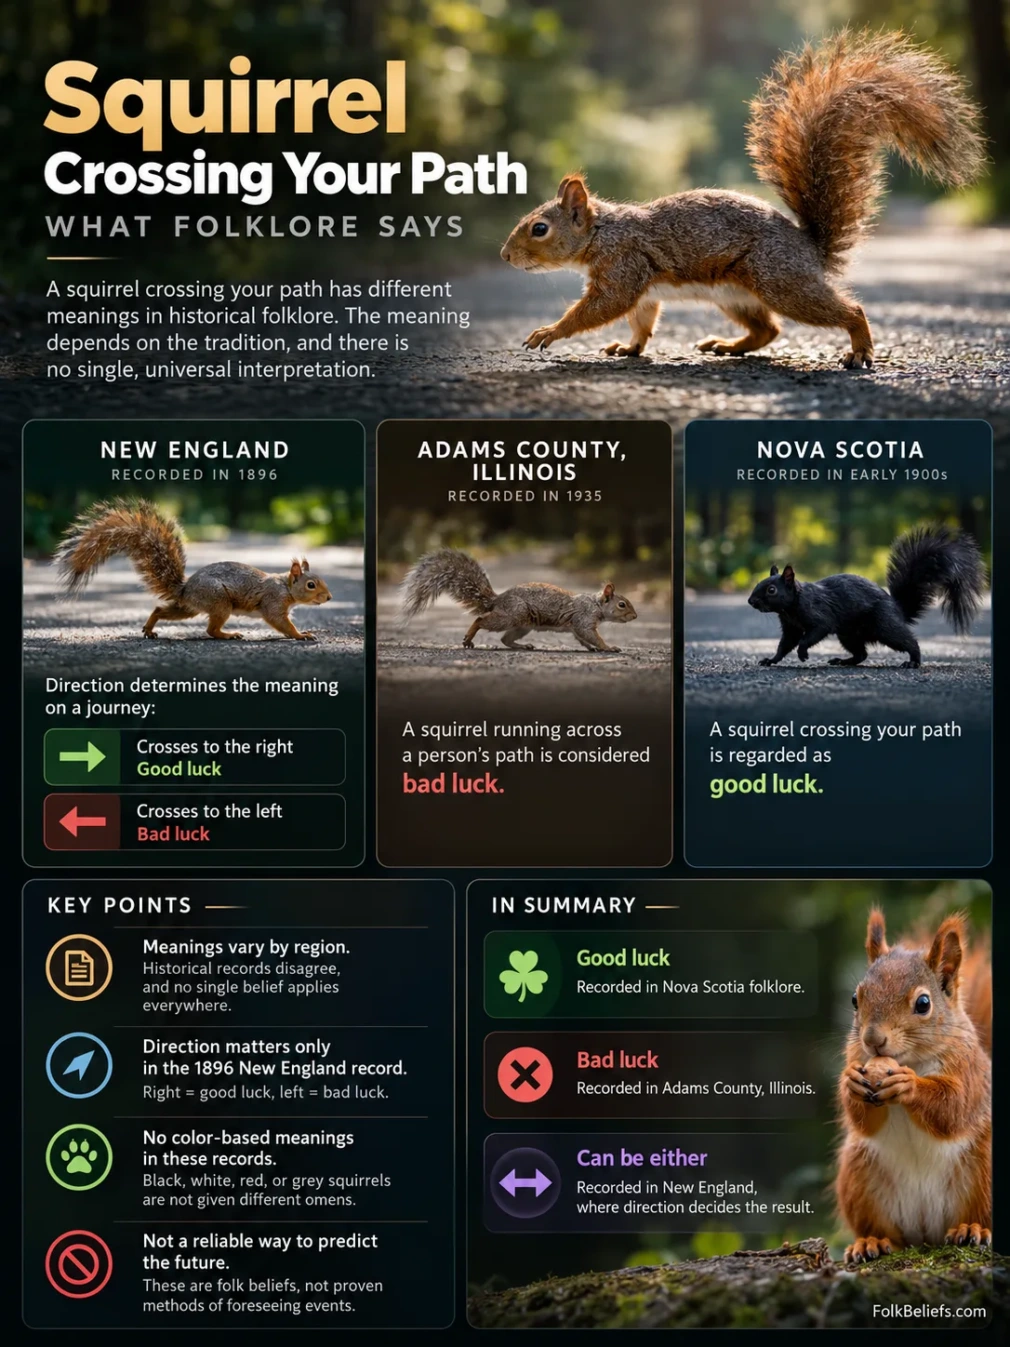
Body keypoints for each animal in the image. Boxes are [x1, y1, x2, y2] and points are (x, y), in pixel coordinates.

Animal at [56, 498, 332, 640]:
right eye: (311, 584)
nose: (329, 597)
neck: (285, 586)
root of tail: (185, 588)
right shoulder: (273, 602)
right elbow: (280, 622)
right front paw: (301, 635)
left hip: (190, 607)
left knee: (162, 609)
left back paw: (149, 628)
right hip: (219, 602)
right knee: (210, 630)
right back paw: (228, 635)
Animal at [400, 548, 636, 651]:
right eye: (622, 604)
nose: (635, 616)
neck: (596, 604)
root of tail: (497, 600)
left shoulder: (576, 626)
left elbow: (583, 639)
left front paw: (593, 649)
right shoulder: (583, 618)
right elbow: (590, 635)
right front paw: (608, 648)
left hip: (523, 625)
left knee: (506, 639)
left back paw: (523, 646)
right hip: (513, 615)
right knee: (481, 620)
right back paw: (469, 639)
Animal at [500, 30, 984, 369]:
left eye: (539, 228)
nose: (504, 256)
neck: (604, 231)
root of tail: (810, 248)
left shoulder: (624, 265)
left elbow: (602, 308)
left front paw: (549, 331)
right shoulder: (641, 285)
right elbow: (642, 318)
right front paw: (628, 347)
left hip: (780, 281)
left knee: (847, 310)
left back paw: (860, 349)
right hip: (736, 295)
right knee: (768, 330)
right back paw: (728, 346)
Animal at [746, 525, 985, 669]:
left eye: (771, 590)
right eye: (758, 583)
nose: (750, 601)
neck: (790, 608)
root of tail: (896, 607)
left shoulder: (819, 614)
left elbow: (813, 633)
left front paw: (803, 653)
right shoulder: (791, 627)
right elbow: (785, 645)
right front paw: (770, 660)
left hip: (883, 625)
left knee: (907, 640)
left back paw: (913, 661)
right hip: (849, 634)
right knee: (861, 654)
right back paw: (843, 661)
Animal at [836, 908, 991, 1263]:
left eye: (923, 1004)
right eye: (855, 999)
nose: (872, 1039)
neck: (913, 1061)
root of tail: (926, 1232)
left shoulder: (970, 1071)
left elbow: (954, 1108)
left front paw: (909, 1085)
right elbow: (862, 1120)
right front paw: (850, 1082)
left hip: (985, 1169)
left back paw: (972, 1228)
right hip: (859, 1177)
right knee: (886, 1232)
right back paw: (872, 1241)